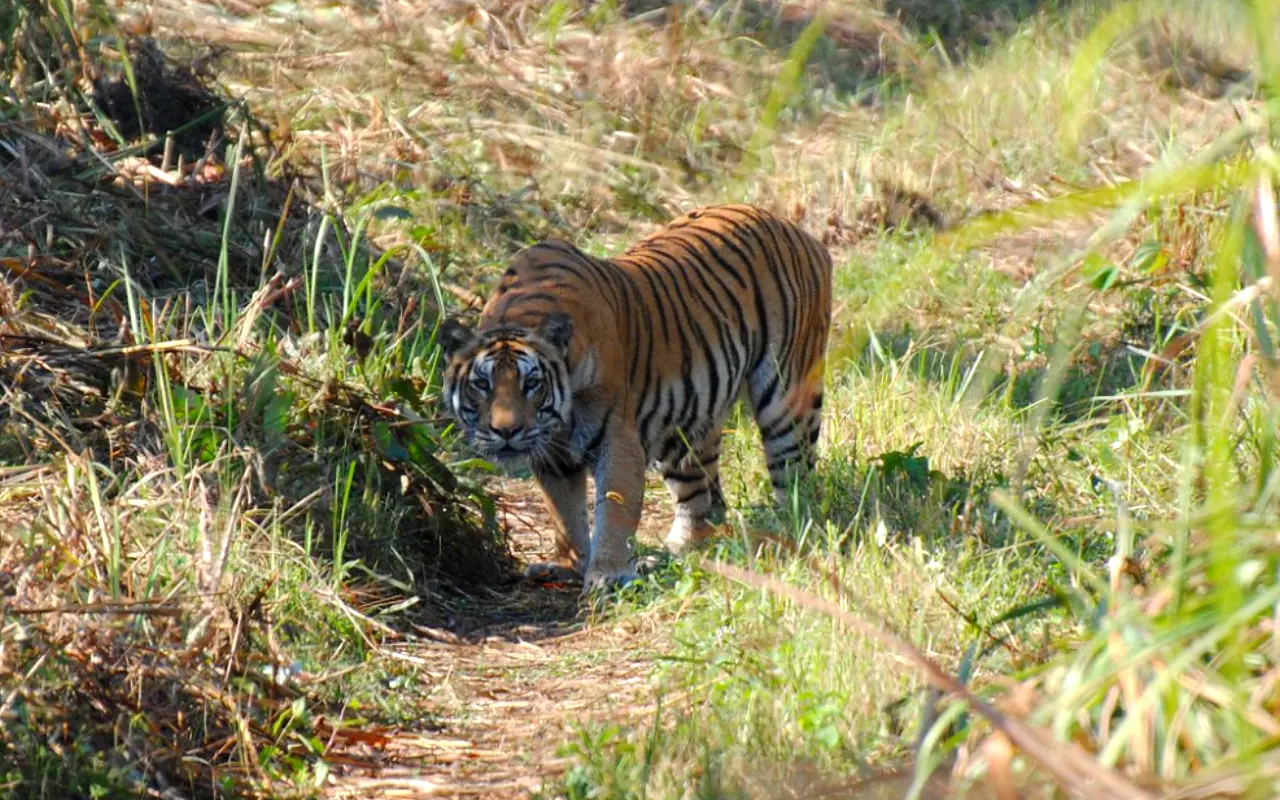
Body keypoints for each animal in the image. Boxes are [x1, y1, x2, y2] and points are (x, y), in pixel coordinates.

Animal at [439, 204, 833, 593]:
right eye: (482, 384)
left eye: (532, 383)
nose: (506, 431)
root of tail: (800, 232)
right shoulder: (552, 457)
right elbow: (564, 513)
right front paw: (569, 564)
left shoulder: (616, 437)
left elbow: (615, 506)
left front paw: (608, 574)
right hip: (684, 425)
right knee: (700, 497)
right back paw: (679, 550)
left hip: (786, 397)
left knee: (795, 476)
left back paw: (788, 533)